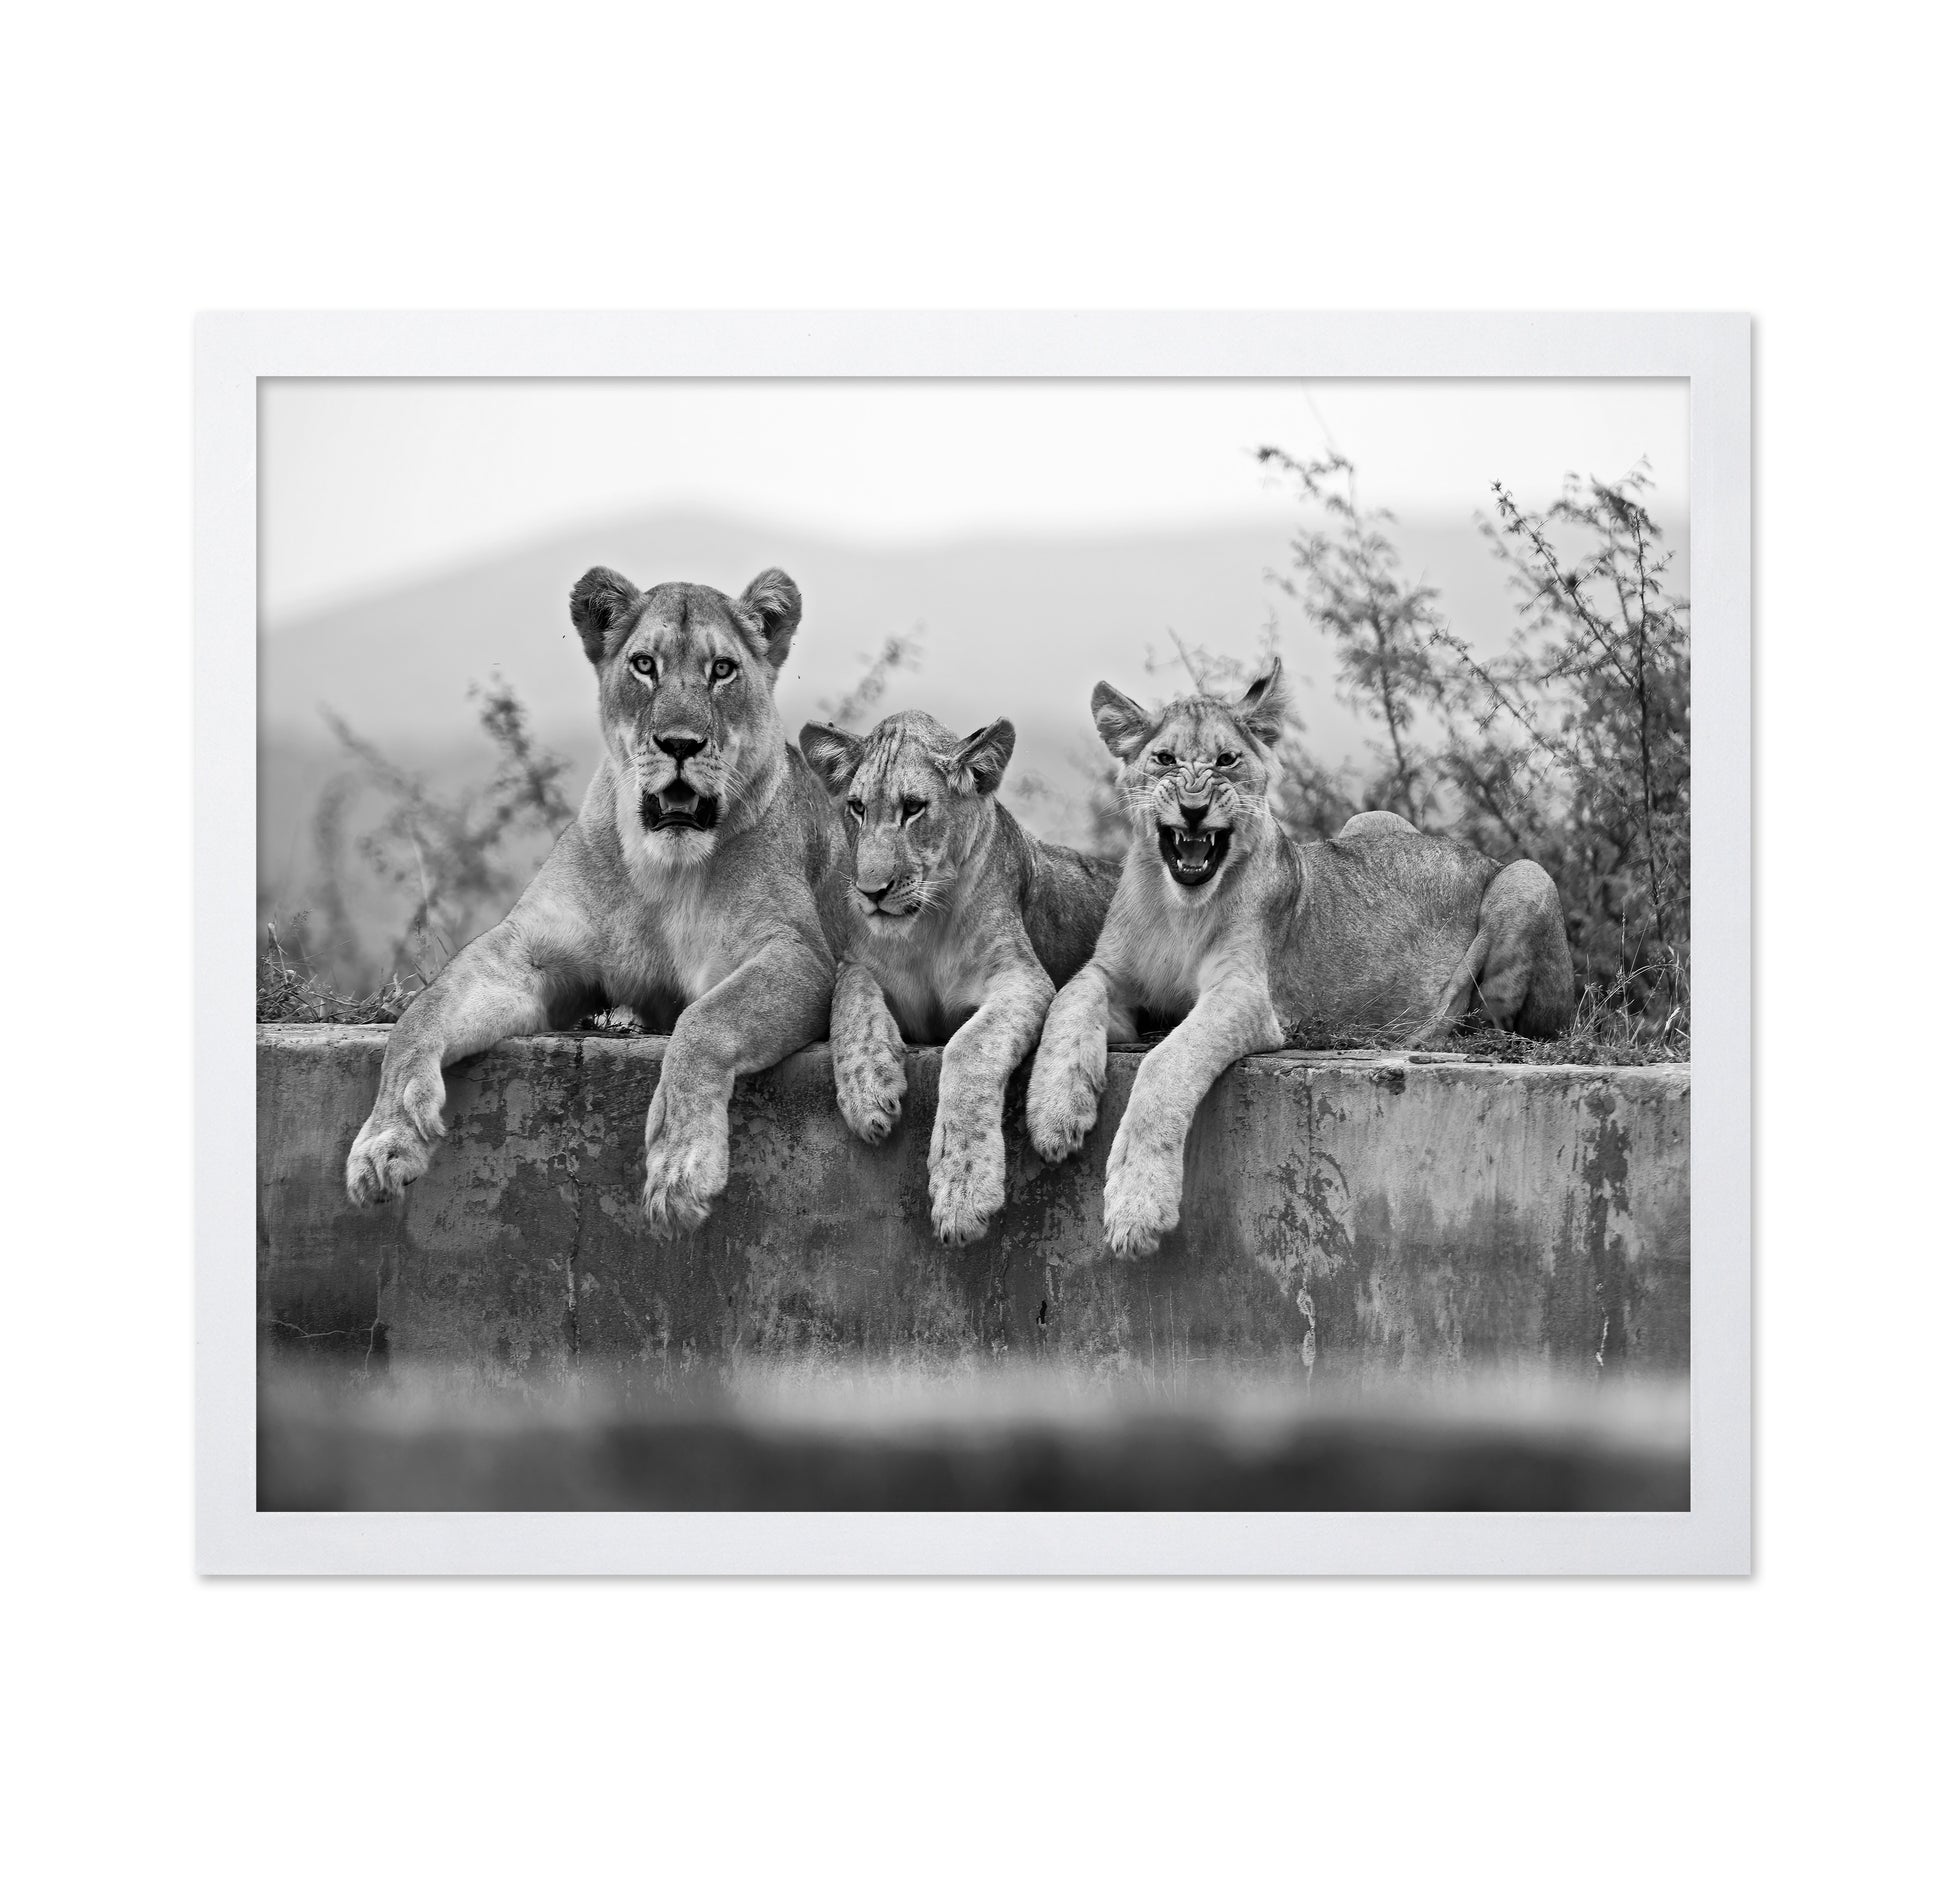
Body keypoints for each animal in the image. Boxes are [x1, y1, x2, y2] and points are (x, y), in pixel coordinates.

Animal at [345, 566, 847, 1235]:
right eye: (644, 665)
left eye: (722, 669)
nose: (680, 743)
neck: (663, 871)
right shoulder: (527, 950)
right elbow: (421, 1014)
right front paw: (387, 1137)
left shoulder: (798, 953)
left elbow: (703, 1021)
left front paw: (681, 1164)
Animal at [798, 710, 1119, 1247]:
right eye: (857, 808)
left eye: (913, 808)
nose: (870, 891)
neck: (924, 927)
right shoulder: (861, 964)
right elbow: (849, 994)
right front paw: (868, 1089)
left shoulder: (1024, 978)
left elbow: (969, 1047)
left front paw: (962, 1191)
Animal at [1026, 660, 1575, 1258]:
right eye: (1165, 759)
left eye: (1226, 760)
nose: (1193, 810)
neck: (1179, 908)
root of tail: (1480, 854)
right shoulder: (1111, 976)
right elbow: (1068, 1000)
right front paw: (1053, 1115)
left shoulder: (1247, 995)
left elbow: (1165, 1062)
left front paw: (1136, 1207)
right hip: (1371, 820)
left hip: (1527, 878)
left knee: (1497, 1028)